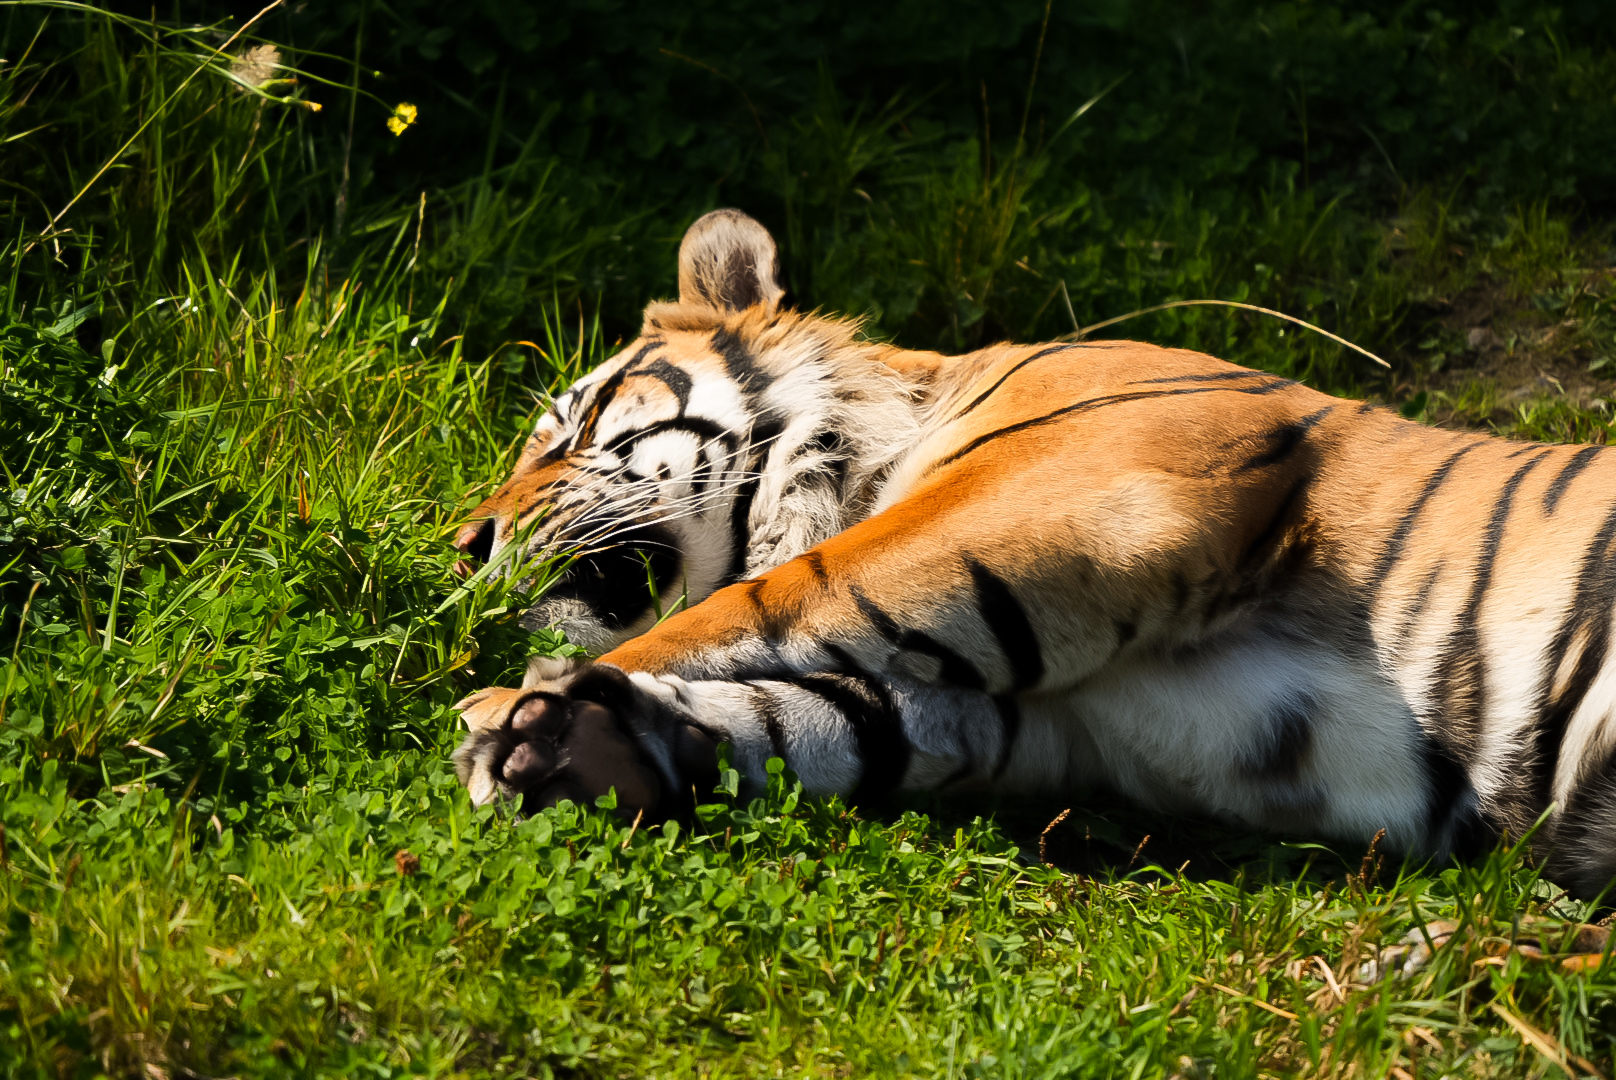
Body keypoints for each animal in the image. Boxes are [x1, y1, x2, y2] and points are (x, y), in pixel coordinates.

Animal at [452, 208, 1616, 900]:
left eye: (567, 428)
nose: (464, 544)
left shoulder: (1084, 489)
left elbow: (774, 598)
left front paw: (491, 708)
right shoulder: (1039, 723)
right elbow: (811, 717)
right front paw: (571, 742)